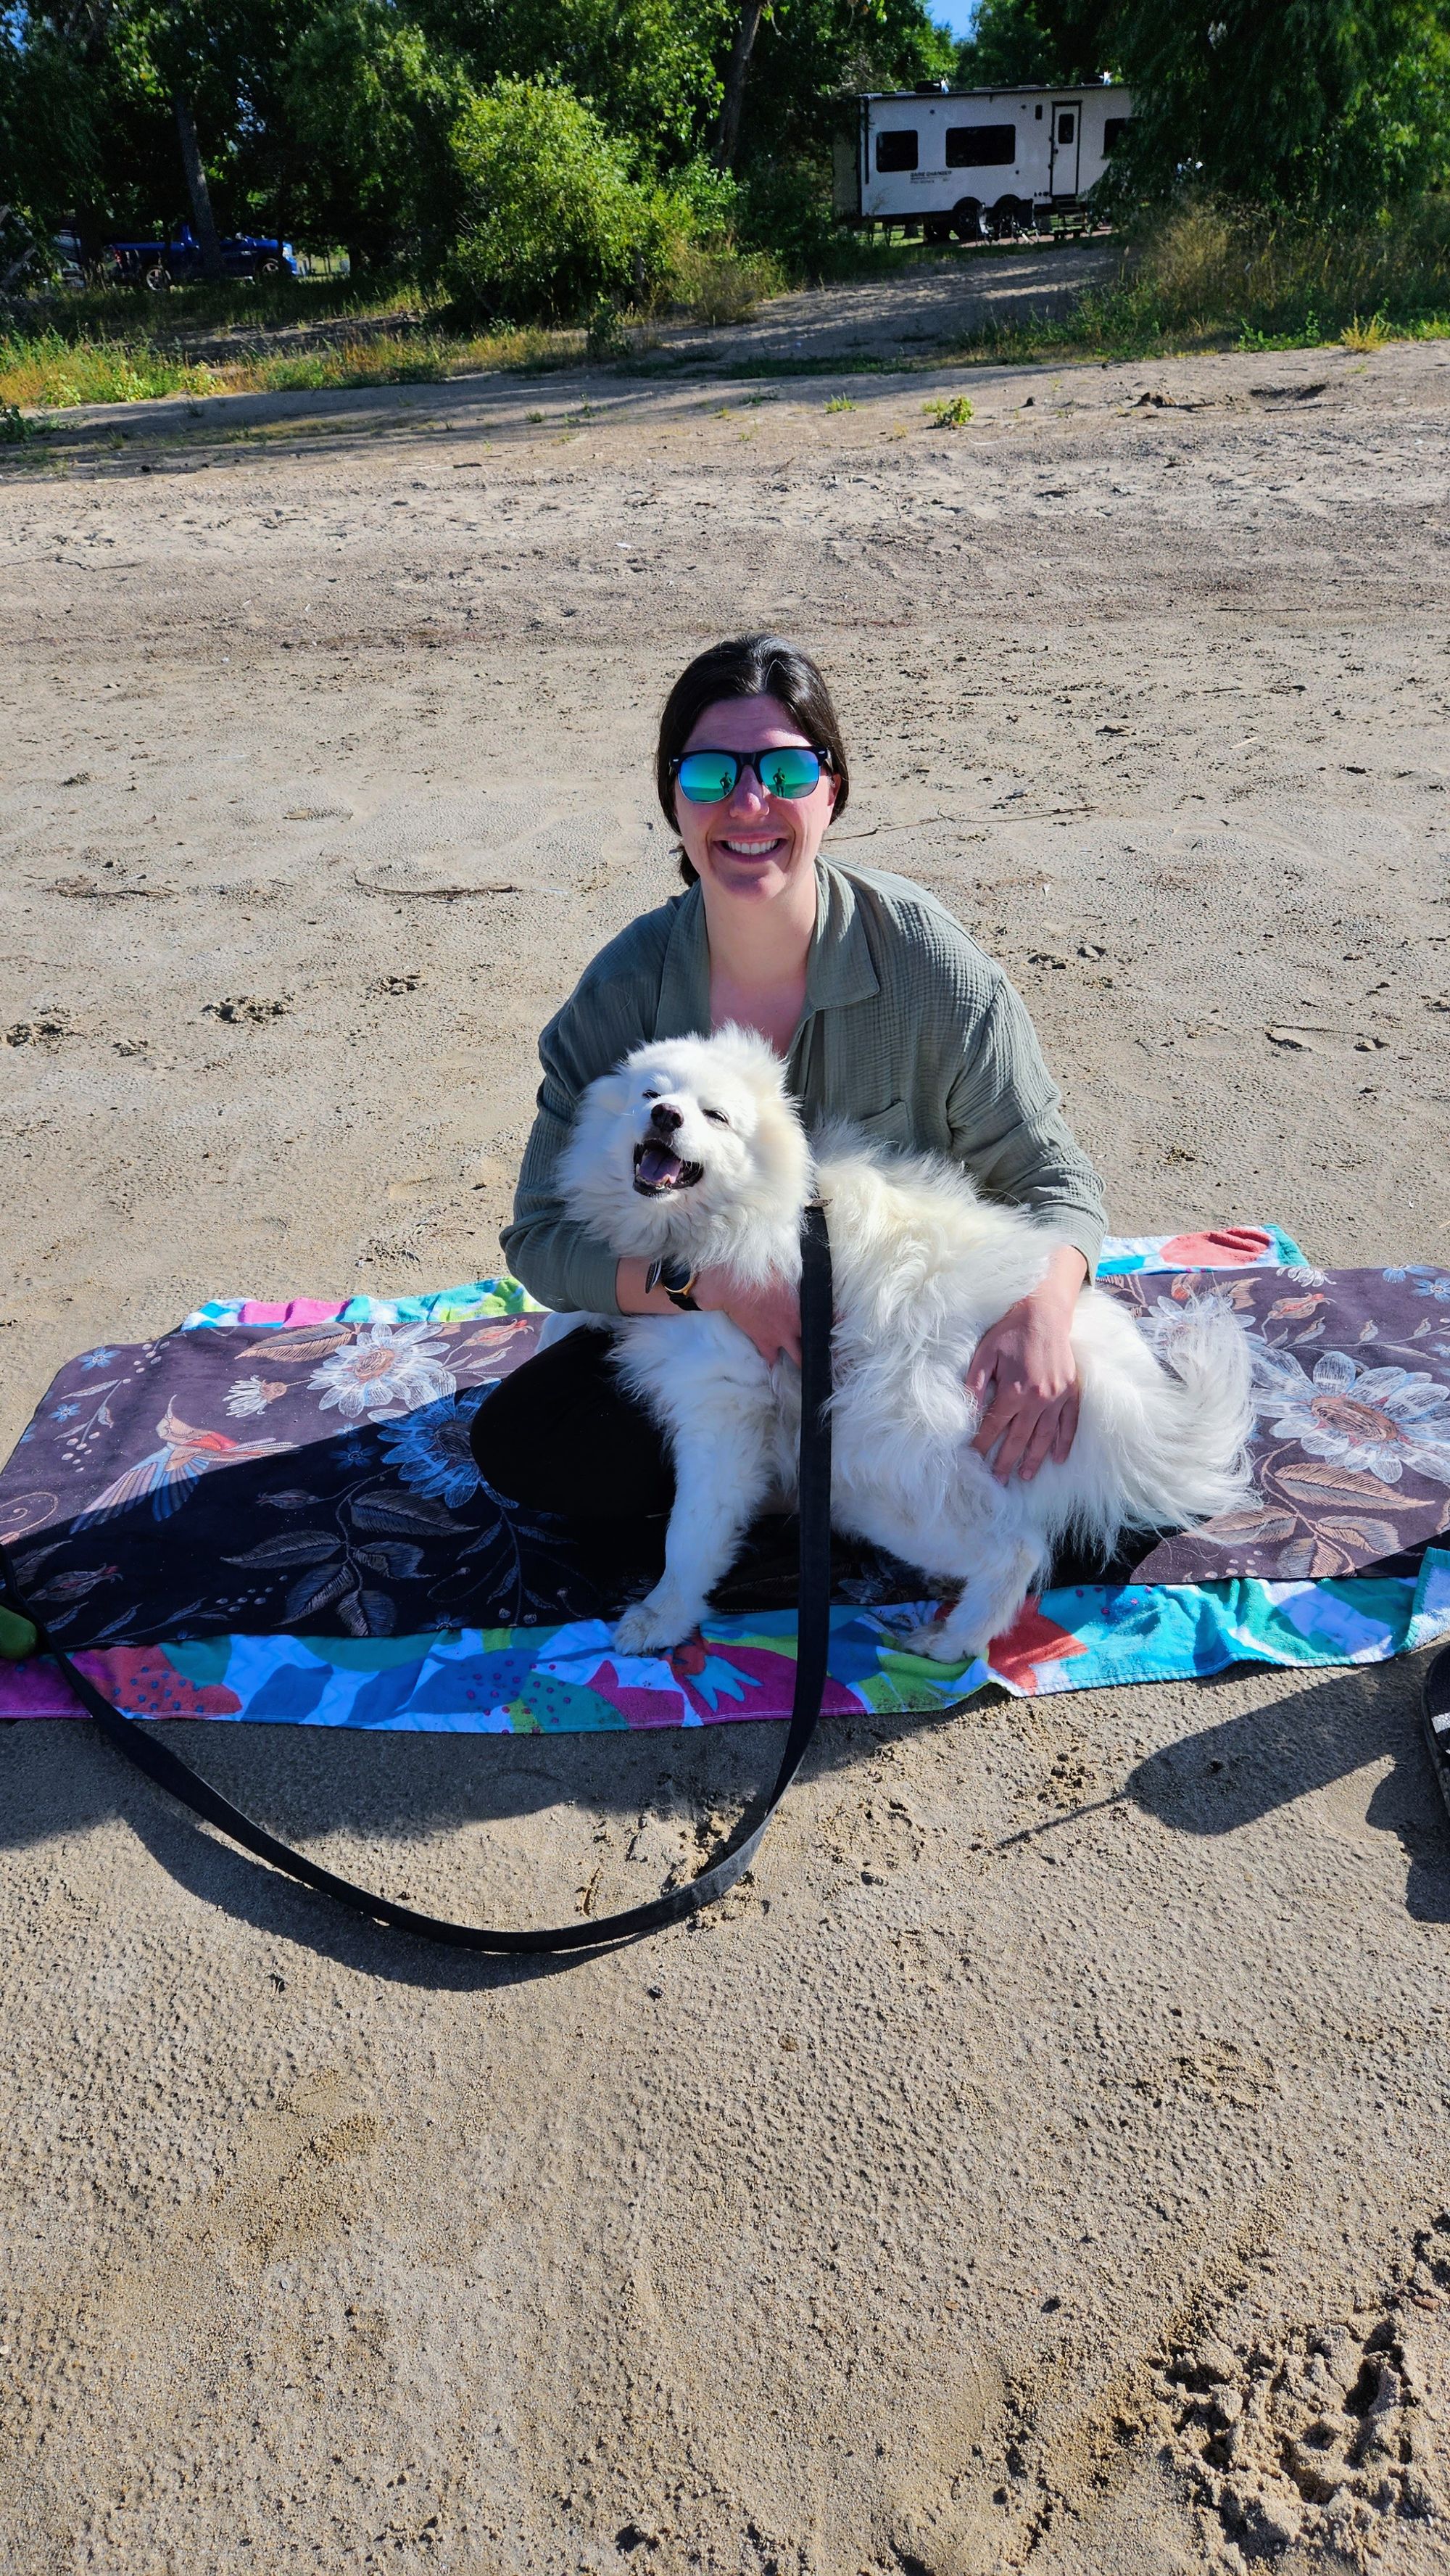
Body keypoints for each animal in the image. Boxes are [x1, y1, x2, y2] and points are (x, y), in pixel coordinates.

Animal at [545, 1027, 1254, 1663]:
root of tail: (1123, 1407)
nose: (665, 1116)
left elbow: (689, 1535)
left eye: (714, 1115)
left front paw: (660, 1618)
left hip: (867, 1464)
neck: (721, 1223)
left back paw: (949, 1641)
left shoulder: (723, 1409)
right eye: (650, 1092)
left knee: (1017, 1552)